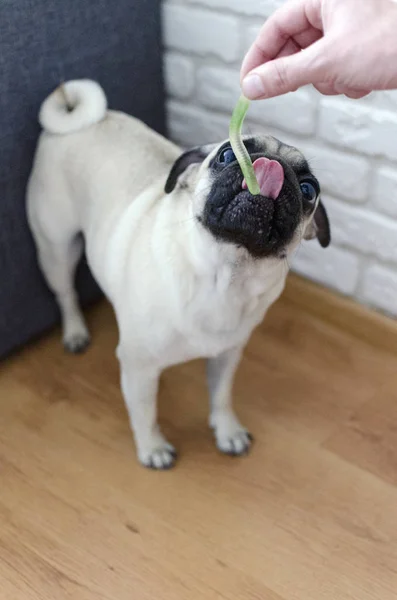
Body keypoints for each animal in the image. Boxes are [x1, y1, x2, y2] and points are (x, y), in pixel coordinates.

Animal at [27, 79, 330, 468]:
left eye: (308, 190)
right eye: (226, 155)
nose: (270, 164)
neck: (225, 276)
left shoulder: (227, 355)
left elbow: (221, 395)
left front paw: (226, 430)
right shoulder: (138, 367)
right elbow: (144, 412)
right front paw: (152, 448)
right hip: (56, 247)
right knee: (65, 292)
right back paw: (76, 332)